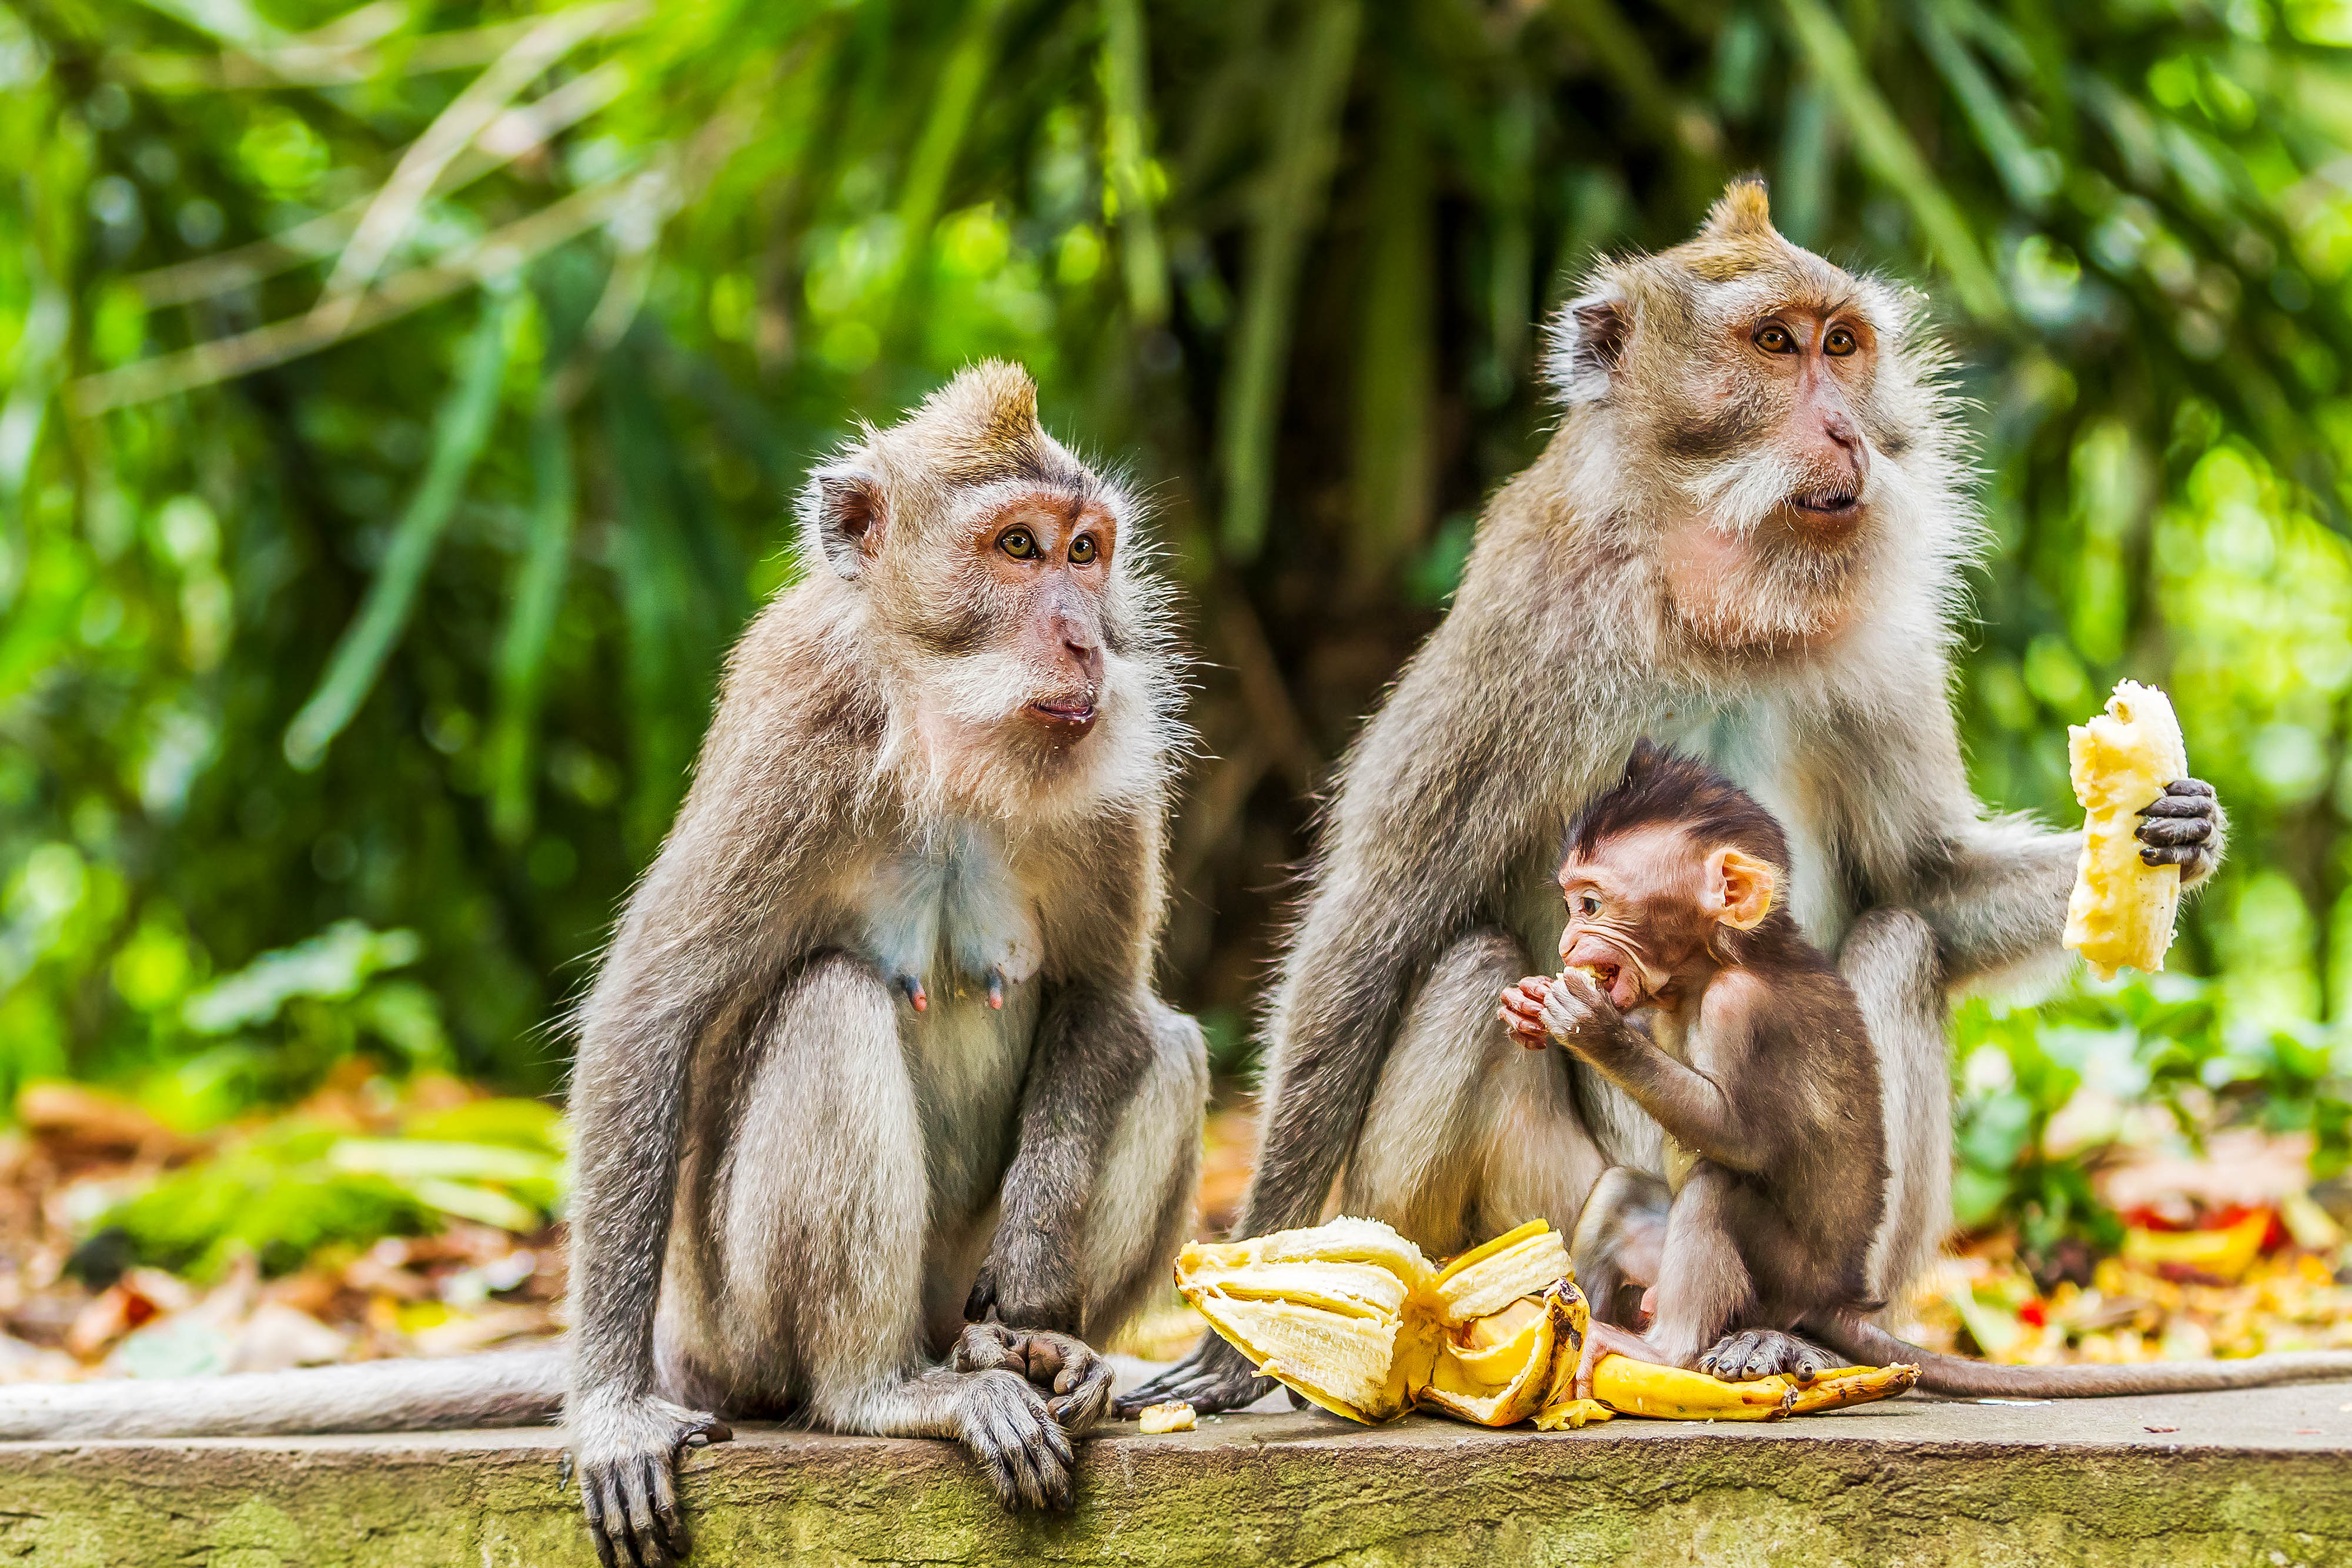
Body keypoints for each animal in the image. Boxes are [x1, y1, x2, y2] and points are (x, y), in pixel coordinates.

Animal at [0, 363, 1210, 1567]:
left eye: (1086, 550)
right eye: (1017, 547)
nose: (1085, 640)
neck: (949, 734)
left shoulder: (1116, 768)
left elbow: (1103, 997)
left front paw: (1039, 1281)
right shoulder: (796, 733)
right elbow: (648, 1016)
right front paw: (614, 1412)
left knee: (1166, 1045)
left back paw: (1043, 1352)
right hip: (737, 1324)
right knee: (828, 1004)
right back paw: (876, 1393)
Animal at [1124, 177, 2228, 1418]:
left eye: (1844, 346)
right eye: (1774, 345)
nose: (1847, 428)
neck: (1719, 608)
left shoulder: (1884, 649)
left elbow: (1923, 880)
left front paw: (2171, 829)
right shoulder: (1523, 626)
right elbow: (1375, 922)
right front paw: (1245, 1319)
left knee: (1899, 941)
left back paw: (1798, 1328)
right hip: (1528, 1215)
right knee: (1463, 973)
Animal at [1508, 745, 2352, 1399]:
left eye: (1592, 902)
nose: (1571, 942)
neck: (1713, 964)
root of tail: (1840, 1301)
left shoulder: (1741, 1010)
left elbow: (1741, 1137)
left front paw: (1592, 1027)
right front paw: (1545, 1009)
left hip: (1784, 1283)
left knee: (1719, 1183)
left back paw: (1666, 1348)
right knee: (1623, 1193)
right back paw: (1569, 1322)